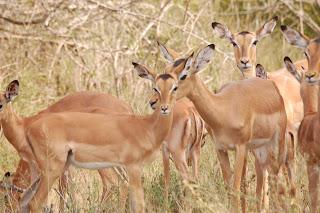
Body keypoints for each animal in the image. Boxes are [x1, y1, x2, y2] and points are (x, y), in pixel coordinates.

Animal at [18, 59, 192, 211]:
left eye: (175, 87)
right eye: (155, 88)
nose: (164, 108)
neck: (146, 127)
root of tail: (30, 128)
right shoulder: (133, 167)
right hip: (55, 169)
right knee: (34, 202)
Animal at [159, 43, 286, 211]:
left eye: (183, 75)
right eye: (165, 71)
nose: (158, 102)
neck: (224, 109)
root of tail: (271, 86)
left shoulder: (240, 148)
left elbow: (236, 188)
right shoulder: (220, 149)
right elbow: (229, 188)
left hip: (277, 142)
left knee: (277, 175)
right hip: (259, 149)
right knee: (264, 178)